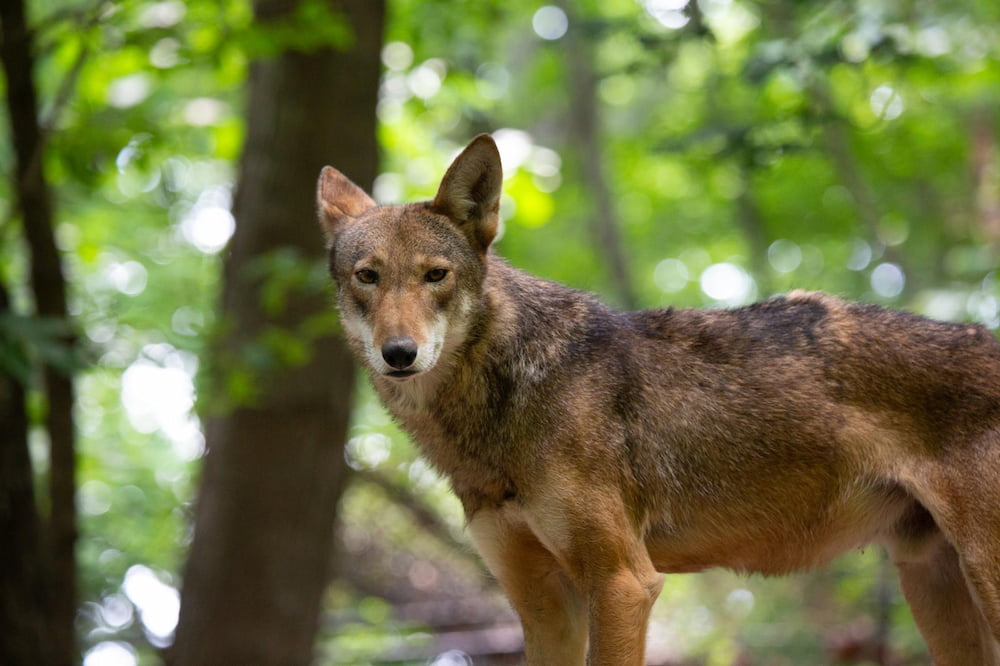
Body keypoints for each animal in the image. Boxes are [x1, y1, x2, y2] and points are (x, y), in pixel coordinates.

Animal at [317, 134, 1000, 665]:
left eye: (435, 275)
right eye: (367, 277)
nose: (398, 354)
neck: (504, 400)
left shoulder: (623, 585)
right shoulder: (543, 607)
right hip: (931, 586)